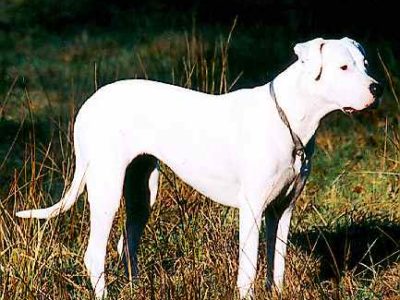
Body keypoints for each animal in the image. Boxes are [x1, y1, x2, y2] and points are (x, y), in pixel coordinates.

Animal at [15, 37, 382, 298]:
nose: (376, 88)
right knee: (94, 254)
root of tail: (88, 105)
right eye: (343, 68)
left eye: (365, 64)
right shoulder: (252, 209)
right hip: (106, 187)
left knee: (126, 245)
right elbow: (249, 269)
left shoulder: (283, 209)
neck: (290, 119)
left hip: (142, 190)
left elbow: (276, 263)